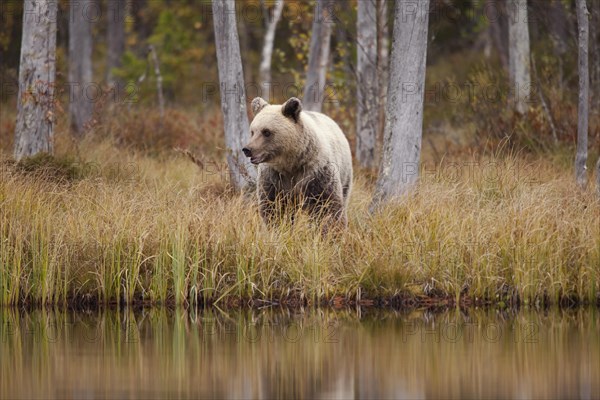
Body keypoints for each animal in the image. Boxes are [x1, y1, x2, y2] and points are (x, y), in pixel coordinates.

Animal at [243, 97, 352, 228]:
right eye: (252, 131)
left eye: (266, 132)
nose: (247, 149)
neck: (291, 162)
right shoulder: (274, 178)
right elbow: (273, 207)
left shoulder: (317, 173)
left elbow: (327, 206)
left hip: (345, 173)